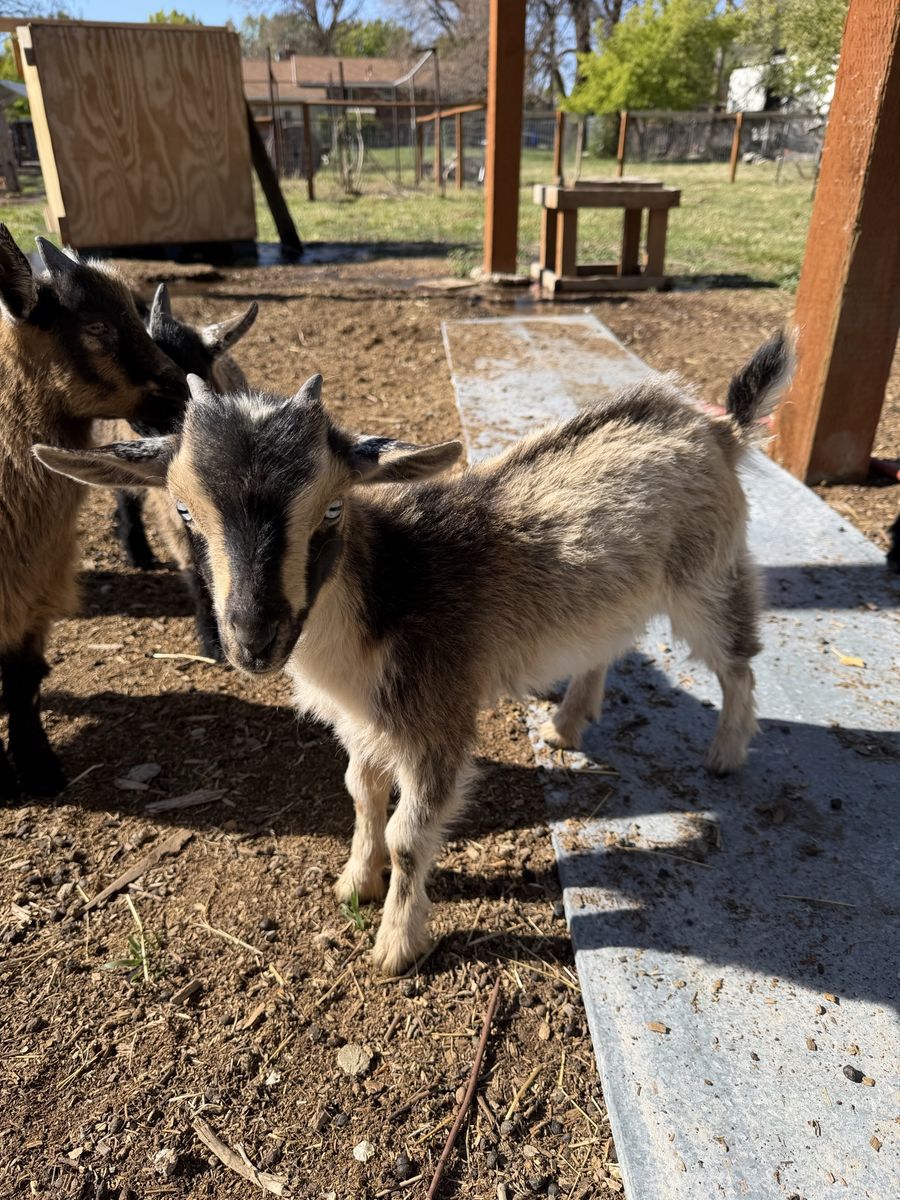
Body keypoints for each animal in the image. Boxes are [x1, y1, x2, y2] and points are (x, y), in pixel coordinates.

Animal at [35, 333, 792, 973]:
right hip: (619, 592)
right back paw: (565, 725)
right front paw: (353, 884)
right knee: (608, 642)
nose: (253, 640)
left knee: (738, 658)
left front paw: (397, 945)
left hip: (705, 573)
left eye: (332, 508)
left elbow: (407, 833)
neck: (386, 592)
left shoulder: (437, 717)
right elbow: (361, 794)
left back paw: (726, 754)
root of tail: (716, 428)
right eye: (186, 511)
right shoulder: (362, 721)